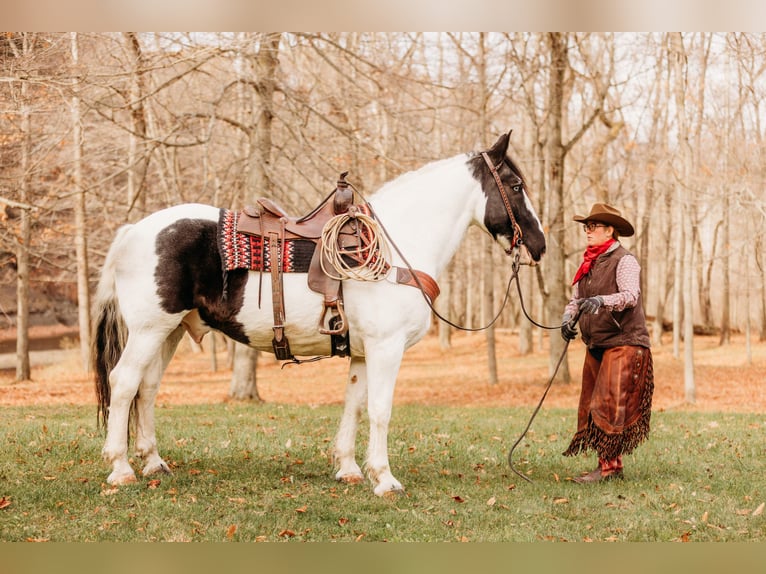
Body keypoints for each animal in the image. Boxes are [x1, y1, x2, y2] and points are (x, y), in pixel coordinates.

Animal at [94, 132, 544, 500]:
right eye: (516, 185)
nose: (539, 244)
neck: (393, 249)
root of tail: (134, 231)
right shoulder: (386, 348)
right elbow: (380, 409)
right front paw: (385, 479)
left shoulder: (362, 352)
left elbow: (355, 405)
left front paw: (348, 469)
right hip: (150, 330)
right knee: (124, 383)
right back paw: (121, 468)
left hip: (168, 332)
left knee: (147, 388)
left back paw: (153, 462)